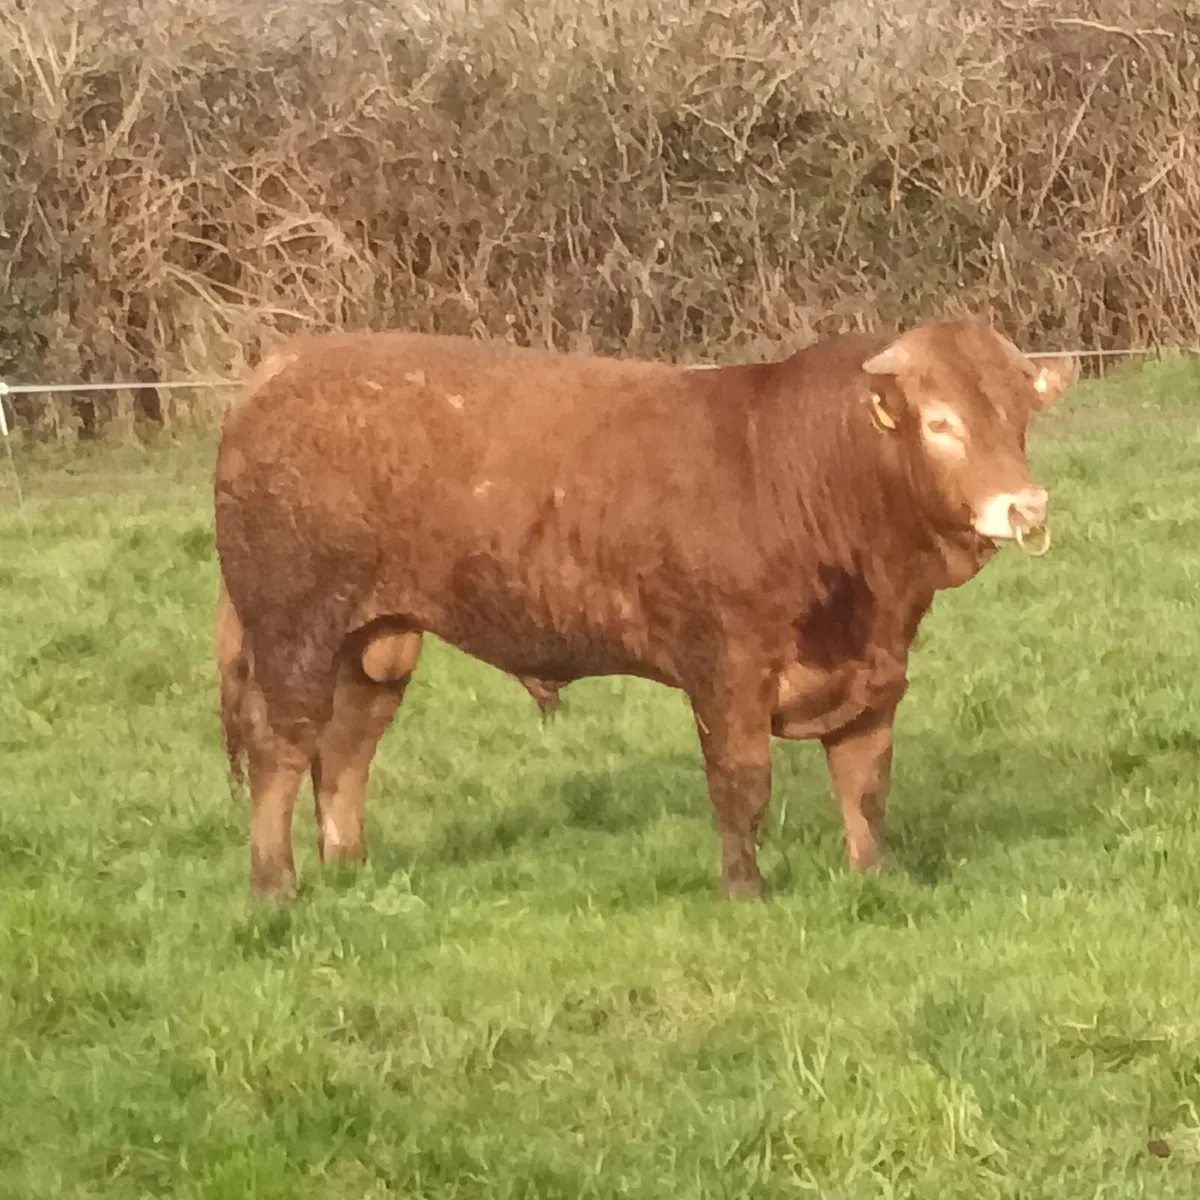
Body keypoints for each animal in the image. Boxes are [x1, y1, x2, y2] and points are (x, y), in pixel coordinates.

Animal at [213, 320, 1077, 901]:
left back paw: (348, 866)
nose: (1026, 508)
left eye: (1018, 418)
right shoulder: (727, 670)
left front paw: (875, 879)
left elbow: (865, 786)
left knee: (346, 748)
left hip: (377, 642)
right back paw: (274, 885)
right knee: (280, 749)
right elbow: (741, 785)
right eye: (940, 422)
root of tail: (285, 365)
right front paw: (746, 892)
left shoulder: (876, 676)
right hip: (291, 629)